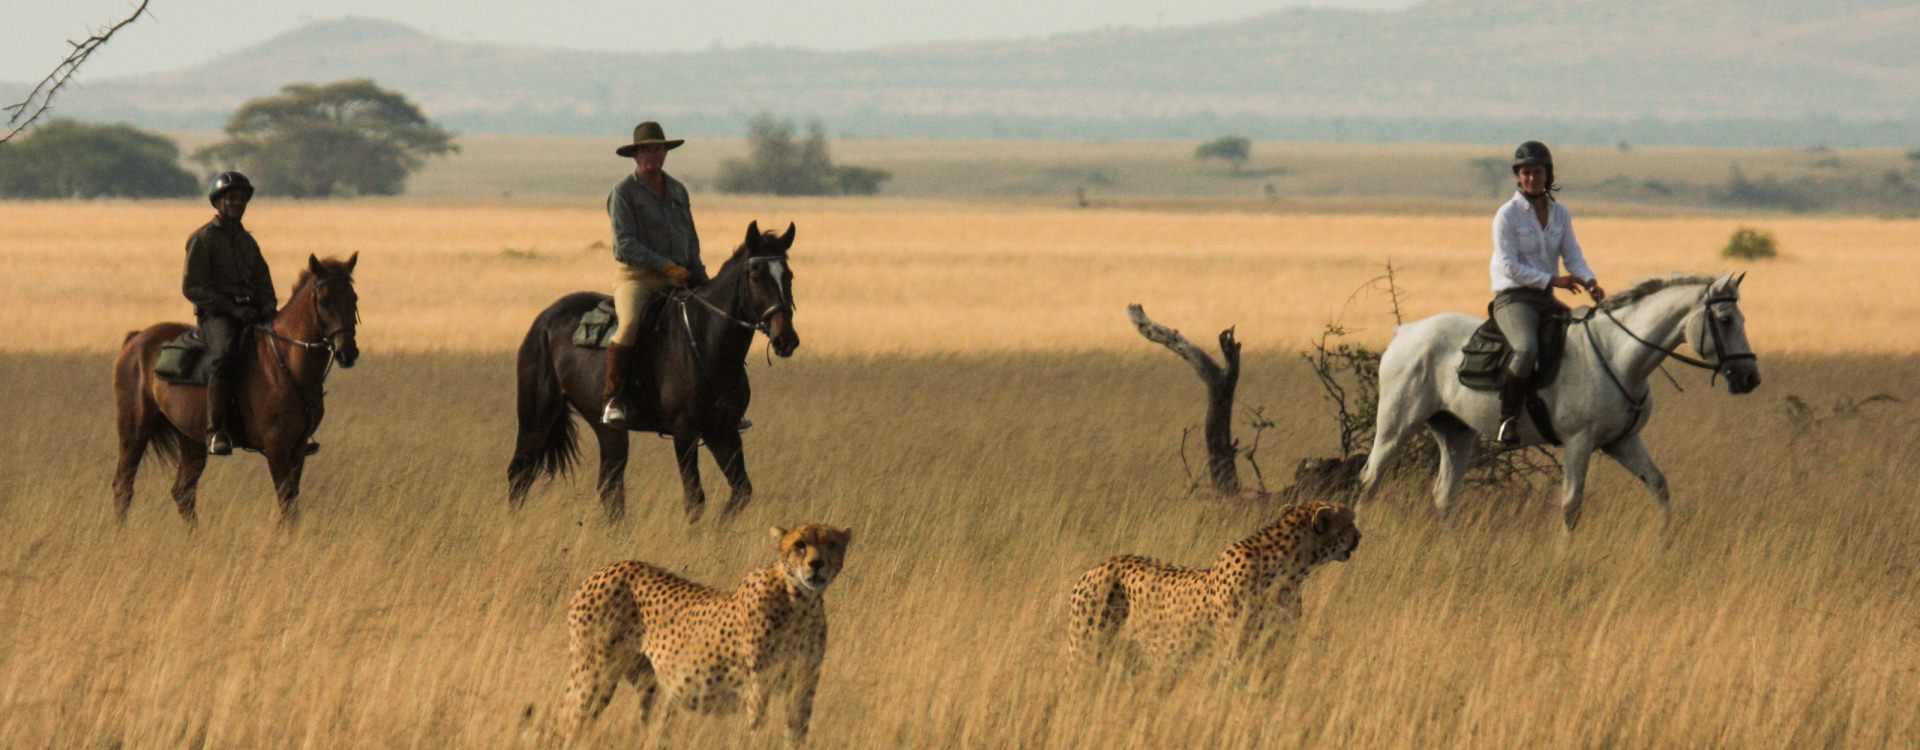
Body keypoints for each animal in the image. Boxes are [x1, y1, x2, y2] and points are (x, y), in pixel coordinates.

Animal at [113, 255, 362, 525]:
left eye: (353, 299)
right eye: (323, 302)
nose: (347, 352)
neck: (286, 361)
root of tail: (135, 340)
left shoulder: (297, 448)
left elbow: (292, 505)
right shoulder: (276, 448)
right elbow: (286, 502)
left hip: (191, 440)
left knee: (183, 492)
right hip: (134, 431)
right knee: (123, 486)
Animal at [506, 223, 798, 521]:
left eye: (789, 276)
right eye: (756, 275)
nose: (786, 340)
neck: (706, 342)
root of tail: (544, 319)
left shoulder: (723, 431)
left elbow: (742, 491)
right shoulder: (684, 433)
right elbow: (695, 499)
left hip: (606, 427)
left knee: (609, 485)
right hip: (537, 415)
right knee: (520, 471)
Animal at [560, 521, 852, 744]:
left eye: (831, 544)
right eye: (799, 545)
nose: (816, 564)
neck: (801, 602)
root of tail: (605, 569)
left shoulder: (803, 684)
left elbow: (797, 733)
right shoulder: (758, 686)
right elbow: (758, 731)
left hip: (646, 683)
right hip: (595, 675)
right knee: (567, 723)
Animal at [1067, 506, 1367, 663]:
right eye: (1348, 522)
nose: (1360, 535)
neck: (1291, 569)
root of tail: (1094, 568)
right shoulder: (1235, 653)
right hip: (1085, 651)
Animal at [1359, 272, 1758, 533]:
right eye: (1725, 319)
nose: (1750, 378)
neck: (1618, 355)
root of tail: (1405, 332)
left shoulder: (1623, 442)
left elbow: (1659, 487)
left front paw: (1665, 545)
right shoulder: (1579, 443)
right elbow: (1571, 505)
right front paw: (1563, 559)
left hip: (1454, 432)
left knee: (1445, 496)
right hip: (1396, 428)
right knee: (1369, 482)